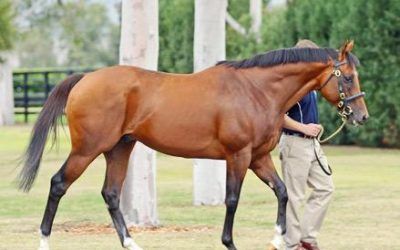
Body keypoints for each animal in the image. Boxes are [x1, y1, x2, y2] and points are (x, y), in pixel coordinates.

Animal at [18, 40, 368, 249]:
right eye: (349, 77)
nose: (361, 116)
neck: (255, 90)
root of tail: (85, 79)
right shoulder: (238, 156)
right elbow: (231, 200)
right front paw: (229, 242)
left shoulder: (258, 158)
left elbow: (282, 192)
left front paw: (278, 239)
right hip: (87, 150)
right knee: (58, 184)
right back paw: (44, 240)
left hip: (120, 148)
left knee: (111, 194)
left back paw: (132, 243)